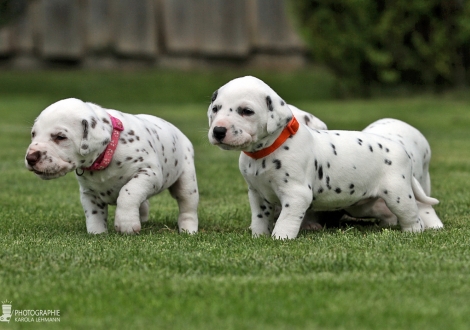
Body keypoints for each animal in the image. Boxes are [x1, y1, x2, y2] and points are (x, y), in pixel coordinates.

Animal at [25, 98, 198, 235]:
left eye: (60, 137)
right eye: (33, 134)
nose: (30, 158)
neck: (107, 152)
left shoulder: (149, 173)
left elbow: (128, 192)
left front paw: (126, 223)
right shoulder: (88, 192)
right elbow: (93, 214)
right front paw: (97, 233)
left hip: (187, 183)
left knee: (187, 207)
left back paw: (188, 230)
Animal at [207, 76, 438, 238]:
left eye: (246, 111)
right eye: (215, 109)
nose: (218, 131)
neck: (267, 151)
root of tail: (401, 149)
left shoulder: (296, 195)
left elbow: (286, 220)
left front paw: (280, 238)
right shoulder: (257, 194)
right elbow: (259, 218)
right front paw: (258, 236)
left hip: (399, 195)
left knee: (412, 216)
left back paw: (412, 232)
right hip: (362, 204)